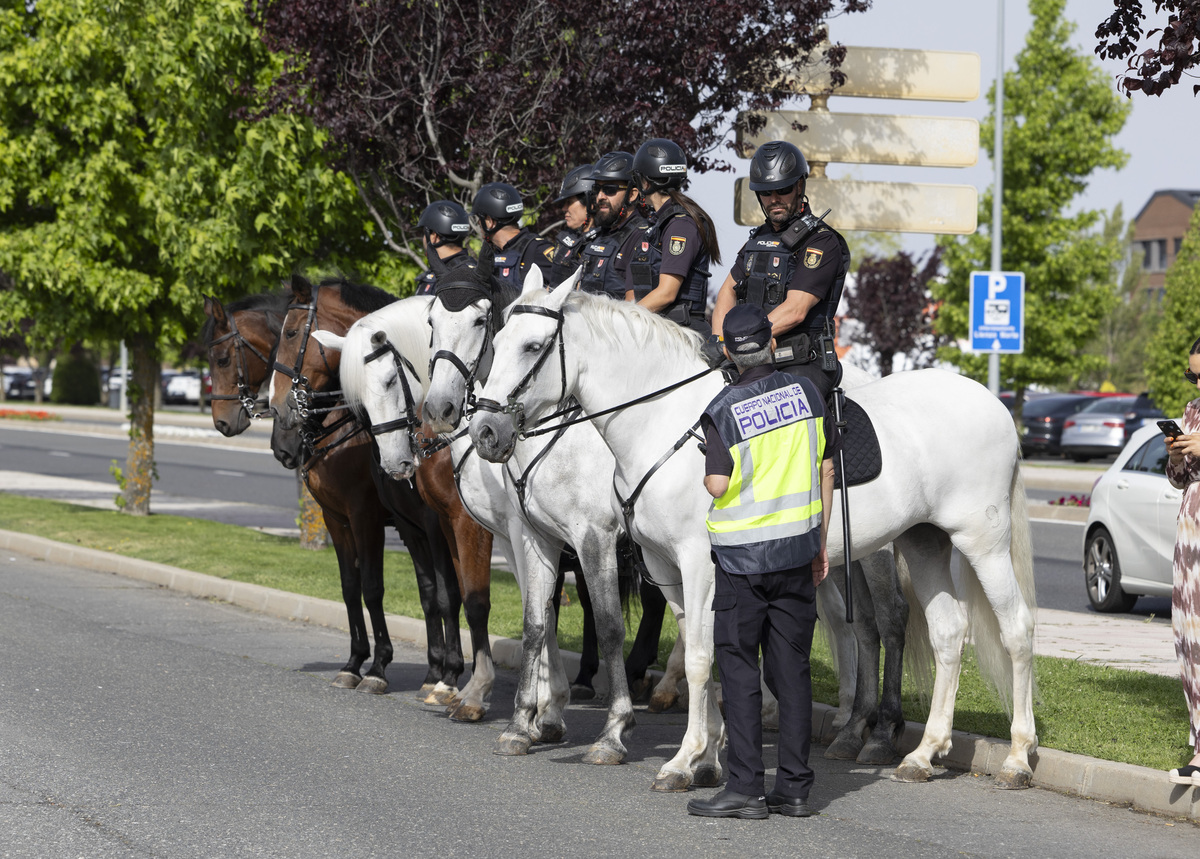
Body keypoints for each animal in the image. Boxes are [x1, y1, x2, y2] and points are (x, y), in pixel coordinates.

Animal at [201, 291, 468, 710]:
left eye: (223, 358)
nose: (222, 422)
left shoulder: (373, 518)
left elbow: (386, 589)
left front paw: (380, 668)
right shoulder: (340, 518)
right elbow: (353, 587)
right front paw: (357, 663)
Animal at [314, 290, 643, 763]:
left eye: (391, 382)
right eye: (357, 397)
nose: (396, 463)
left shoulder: (484, 530)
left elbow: (477, 602)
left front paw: (479, 694)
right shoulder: (503, 533)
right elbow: (531, 608)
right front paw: (544, 711)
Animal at [468, 281, 1041, 791]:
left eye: (533, 346)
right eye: (496, 341)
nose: (485, 433)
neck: (667, 424)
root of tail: (992, 402)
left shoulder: (688, 561)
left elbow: (698, 658)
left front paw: (678, 758)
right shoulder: (666, 568)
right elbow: (703, 654)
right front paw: (705, 760)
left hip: (979, 541)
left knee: (1013, 628)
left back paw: (1015, 756)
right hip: (924, 541)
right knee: (947, 632)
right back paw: (924, 753)